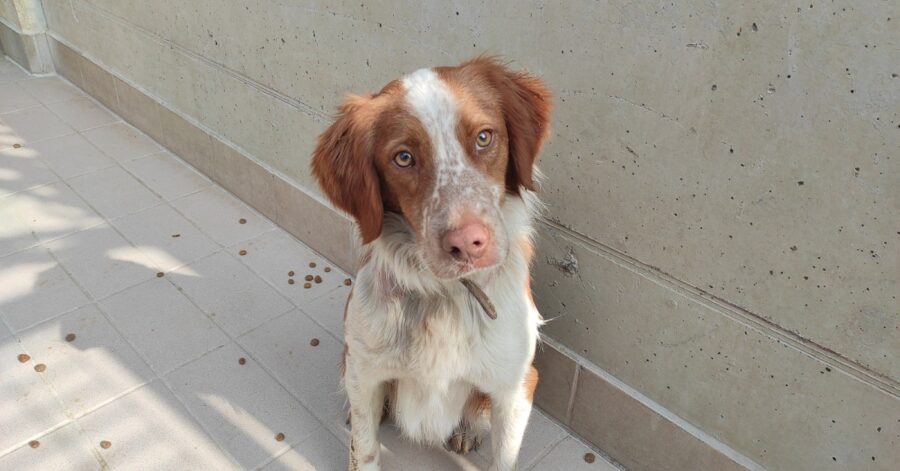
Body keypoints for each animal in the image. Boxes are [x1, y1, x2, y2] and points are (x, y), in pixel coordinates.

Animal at [310, 56, 548, 471]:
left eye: (484, 137)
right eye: (403, 158)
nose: (467, 243)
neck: (443, 296)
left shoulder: (516, 385)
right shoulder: (364, 371)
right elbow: (364, 448)